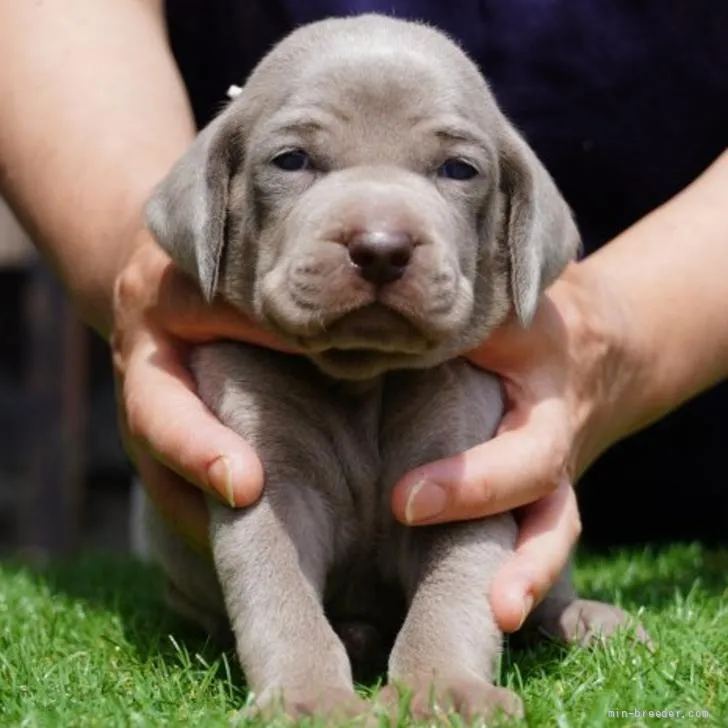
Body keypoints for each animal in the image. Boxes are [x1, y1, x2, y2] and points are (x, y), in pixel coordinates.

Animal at [145, 14, 644, 724]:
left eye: (459, 169)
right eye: (291, 160)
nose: (380, 248)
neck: (365, 378)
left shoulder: (466, 483)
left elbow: (453, 601)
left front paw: (443, 690)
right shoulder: (265, 480)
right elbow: (280, 597)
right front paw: (305, 697)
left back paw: (586, 620)